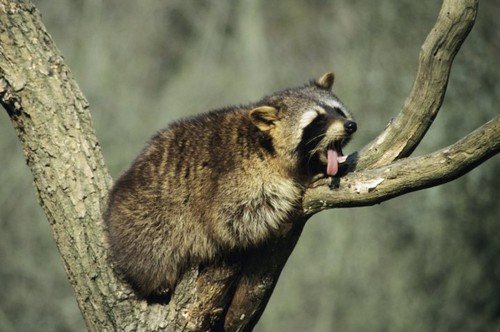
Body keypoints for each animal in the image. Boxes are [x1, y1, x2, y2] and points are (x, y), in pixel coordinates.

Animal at [104, 73, 356, 296]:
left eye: (338, 110)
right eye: (318, 120)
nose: (351, 125)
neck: (266, 144)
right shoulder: (237, 178)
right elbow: (237, 218)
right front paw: (300, 184)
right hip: (148, 228)